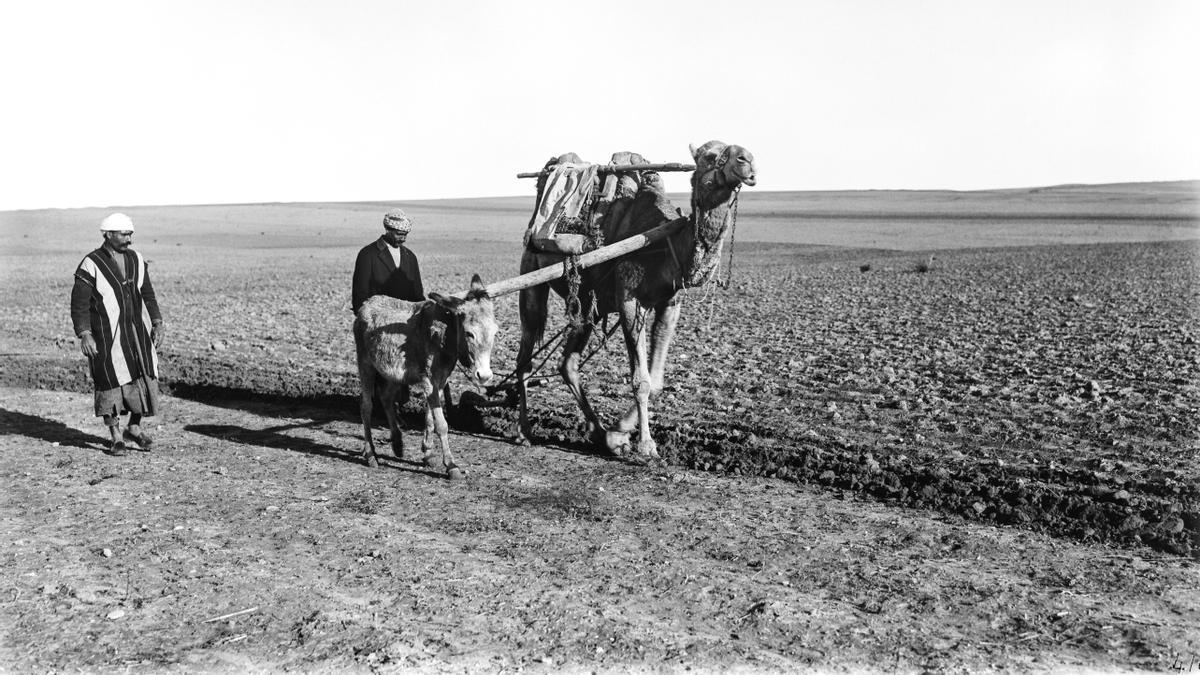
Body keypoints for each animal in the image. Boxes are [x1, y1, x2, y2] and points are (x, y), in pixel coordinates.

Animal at [350, 271, 496, 473]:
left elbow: (430, 418)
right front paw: (451, 465)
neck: (444, 334)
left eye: (495, 332)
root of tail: (367, 303)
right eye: (469, 333)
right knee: (366, 406)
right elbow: (441, 424)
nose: (484, 376)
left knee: (386, 398)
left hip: (393, 372)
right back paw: (371, 454)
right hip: (366, 365)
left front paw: (428, 454)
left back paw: (397, 443)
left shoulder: (440, 381)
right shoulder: (428, 379)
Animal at [511, 139, 753, 454]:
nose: (747, 160)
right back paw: (524, 431)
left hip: (589, 304)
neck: (666, 242)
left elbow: (657, 379)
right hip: (531, 277)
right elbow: (641, 380)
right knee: (525, 356)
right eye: (711, 156)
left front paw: (618, 434)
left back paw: (598, 431)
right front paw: (646, 445)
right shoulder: (629, 299)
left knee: (568, 364)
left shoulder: (670, 303)